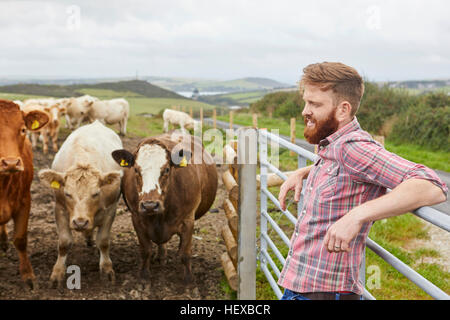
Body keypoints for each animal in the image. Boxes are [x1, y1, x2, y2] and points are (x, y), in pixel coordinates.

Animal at [38, 120, 123, 288]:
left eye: (96, 193)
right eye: (67, 194)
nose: (80, 222)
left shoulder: (111, 209)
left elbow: (103, 241)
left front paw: (107, 269)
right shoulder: (59, 208)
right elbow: (64, 242)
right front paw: (57, 273)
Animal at [112, 132, 218, 284]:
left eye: (167, 169)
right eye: (136, 169)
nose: (150, 205)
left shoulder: (188, 220)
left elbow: (186, 253)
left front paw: (189, 281)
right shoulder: (136, 219)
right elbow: (145, 250)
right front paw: (144, 276)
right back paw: (161, 256)